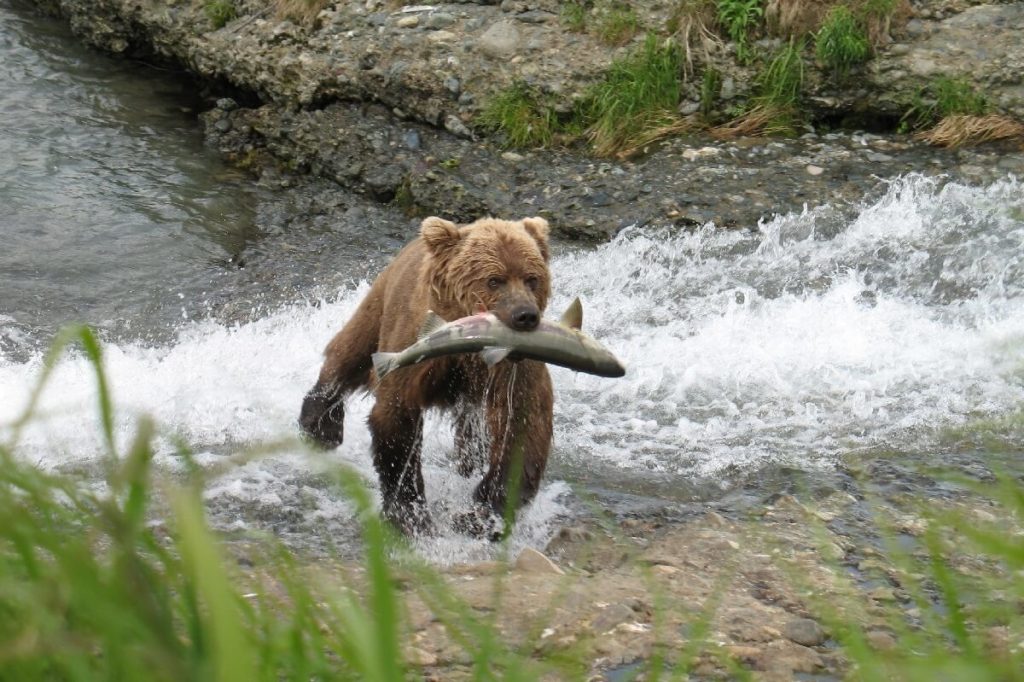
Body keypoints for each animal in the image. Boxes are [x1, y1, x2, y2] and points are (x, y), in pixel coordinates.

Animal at [299, 215, 552, 532]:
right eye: (494, 280)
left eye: (532, 278)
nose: (525, 315)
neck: (468, 346)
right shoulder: (416, 350)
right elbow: (397, 415)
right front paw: (409, 514)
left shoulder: (511, 369)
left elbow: (521, 425)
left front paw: (481, 515)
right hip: (381, 303)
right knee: (351, 351)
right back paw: (321, 424)